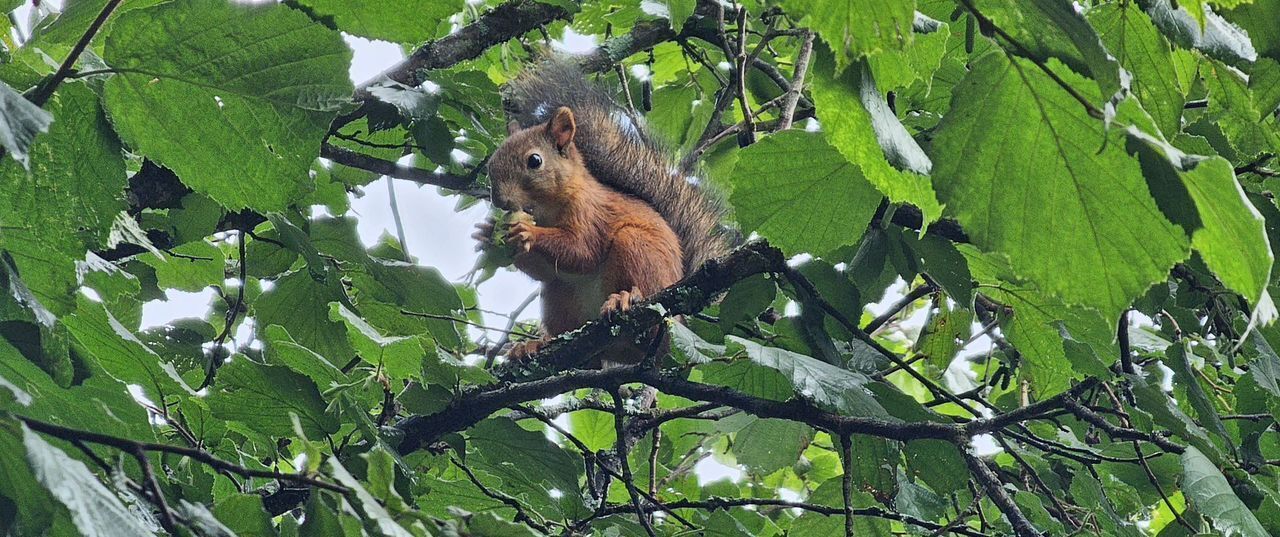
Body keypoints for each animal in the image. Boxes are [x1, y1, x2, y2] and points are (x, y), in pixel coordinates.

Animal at [473, 60, 732, 363]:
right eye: (492, 162)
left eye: (534, 161)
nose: (499, 200)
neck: (548, 210)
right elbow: (545, 270)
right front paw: (488, 234)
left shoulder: (590, 212)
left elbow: (582, 251)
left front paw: (527, 232)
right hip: (558, 296)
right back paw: (537, 345)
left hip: (637, 249)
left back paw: (626, 299)